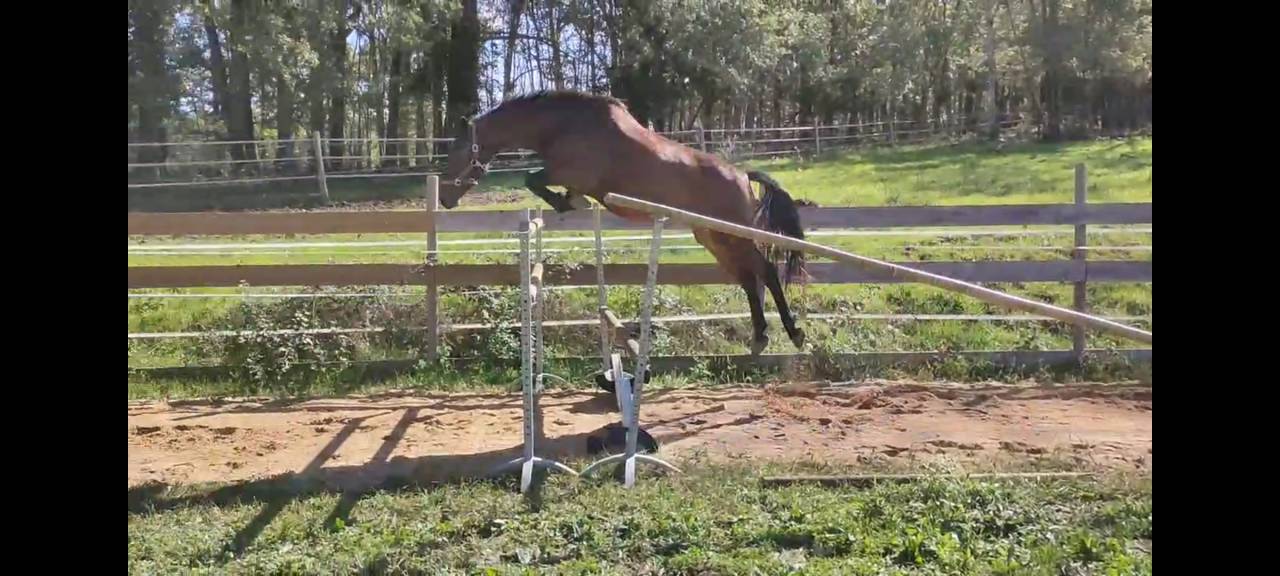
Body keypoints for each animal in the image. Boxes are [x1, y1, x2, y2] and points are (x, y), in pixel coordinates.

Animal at [438, 90, 807, 355]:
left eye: (455, 153)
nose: (444, 199)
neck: (563, 126)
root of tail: (742, 175)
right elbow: (543, 183)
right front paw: (570, 202)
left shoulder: (570, 173)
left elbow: (534, 179)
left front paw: (567, 203)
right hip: (714, 237)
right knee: (748, 279)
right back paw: (761, 337)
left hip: (734, 236)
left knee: (766, 272)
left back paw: (794, 333)